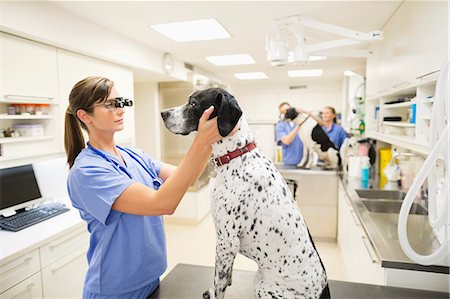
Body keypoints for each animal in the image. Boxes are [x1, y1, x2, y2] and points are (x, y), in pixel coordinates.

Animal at [160, 88, 328, 298]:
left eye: (193, 103)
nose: (163, 113)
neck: (235, 154)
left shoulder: (226, 241)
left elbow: (219, 282)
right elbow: (224, 277)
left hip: (263, 284)